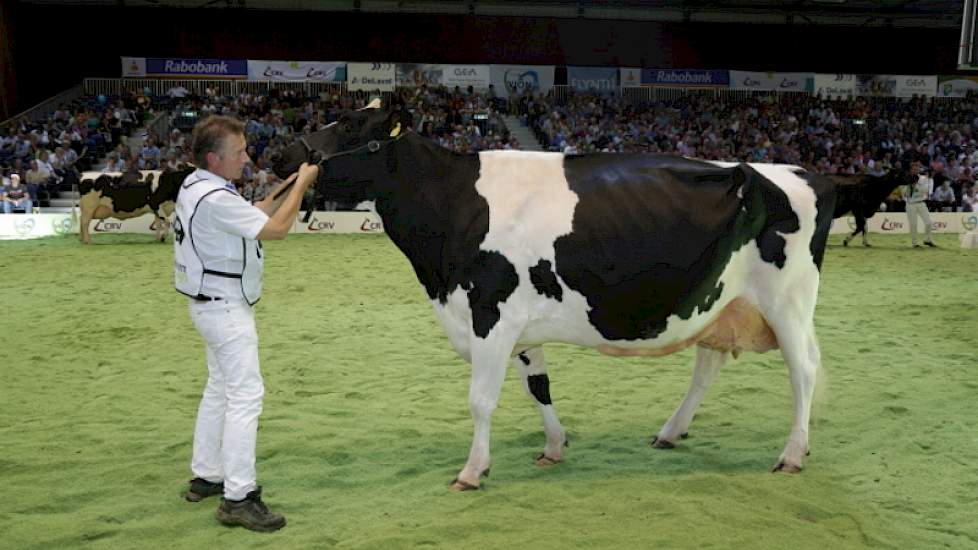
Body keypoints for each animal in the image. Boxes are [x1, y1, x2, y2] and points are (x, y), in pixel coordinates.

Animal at [270, 108, 836, 492]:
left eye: (350, 126)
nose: (281, 154)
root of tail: (801, 172)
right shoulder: (517, 322)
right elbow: (537, 386)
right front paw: (554, 446)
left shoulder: (491, 312)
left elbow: (481, 399)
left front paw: (472, 470)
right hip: (722, 305)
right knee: (710, 367)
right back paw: (673, 432)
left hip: (787, 302)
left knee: (804, 370)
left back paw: (792, 453)